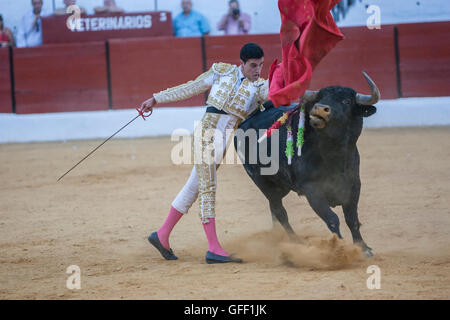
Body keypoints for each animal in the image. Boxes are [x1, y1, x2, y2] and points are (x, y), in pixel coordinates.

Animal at [236, 72, 380, 258]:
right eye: (321, 97)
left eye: (346, 101)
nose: (320, 108)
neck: (333, 154)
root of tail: (249, 119)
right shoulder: (312, 189)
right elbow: (332, 219)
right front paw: (339, 248)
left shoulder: (354, 185)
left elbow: (352, 219)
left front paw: (364, 248)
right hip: (262, 182)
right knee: (280, 211)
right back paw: (295, 241)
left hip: (280, 186)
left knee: (274, 210)